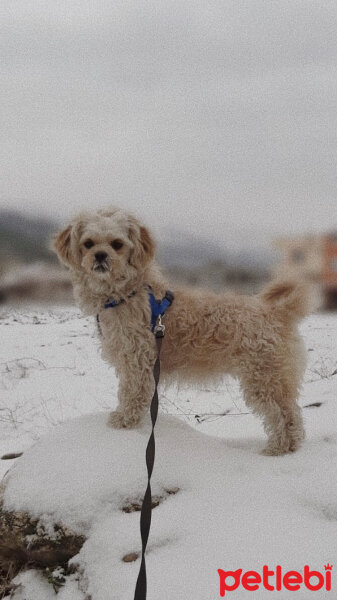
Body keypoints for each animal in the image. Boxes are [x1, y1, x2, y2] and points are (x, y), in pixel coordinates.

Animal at [53, 207, 310, 454]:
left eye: (117, 244)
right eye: (88, 243)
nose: (100, 255)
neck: (127, 293)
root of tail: (276, 311)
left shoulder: (137, 362)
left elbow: (131, 394)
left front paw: (123, 422)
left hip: (263, 378)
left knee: (281, 414)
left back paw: (277, 448)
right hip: (275, 378)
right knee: (292, 413)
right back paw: (289, 446)